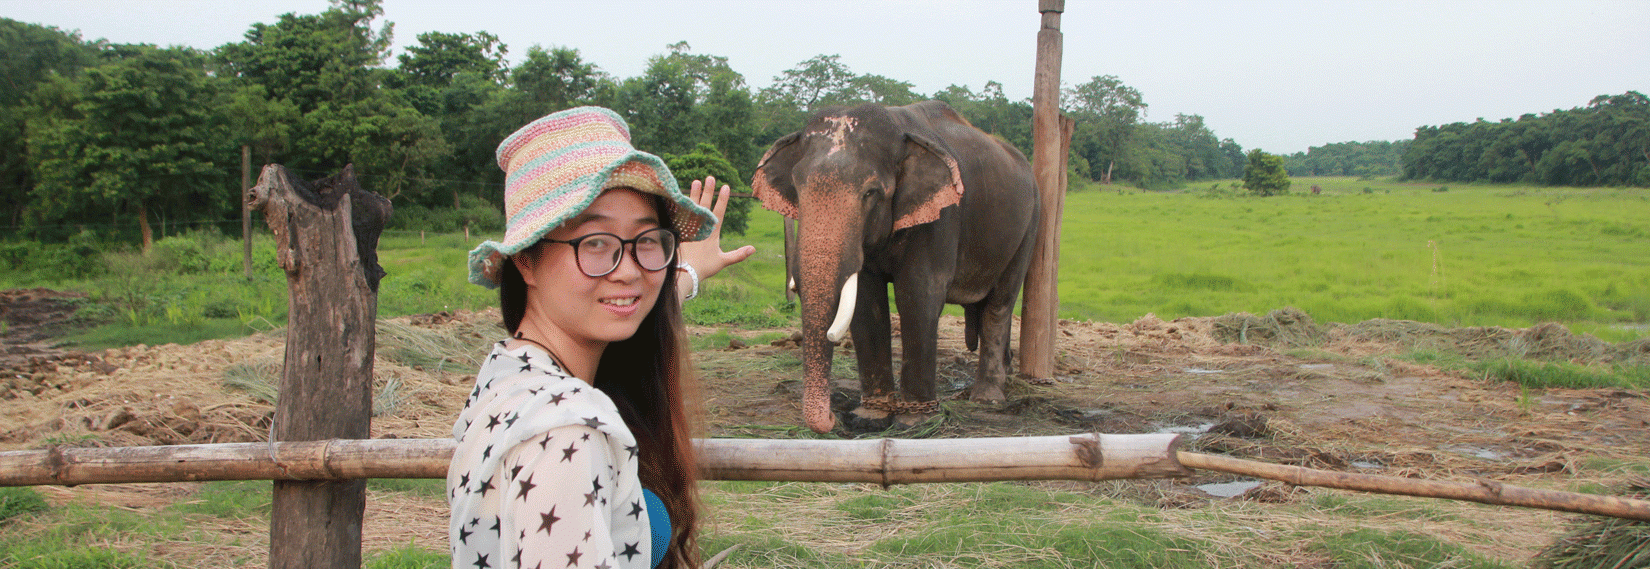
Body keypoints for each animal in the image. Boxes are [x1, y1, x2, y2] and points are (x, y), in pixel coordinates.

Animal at [755, 99, 1036, 432]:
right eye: (797, 190)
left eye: (870, 193)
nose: (833, 417)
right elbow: (866, 301)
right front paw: (871, 416)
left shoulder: (942, 216)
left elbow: (917, 295)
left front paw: (915, 421)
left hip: (1029, 227)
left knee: (1000, 304)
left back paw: (987, 398)